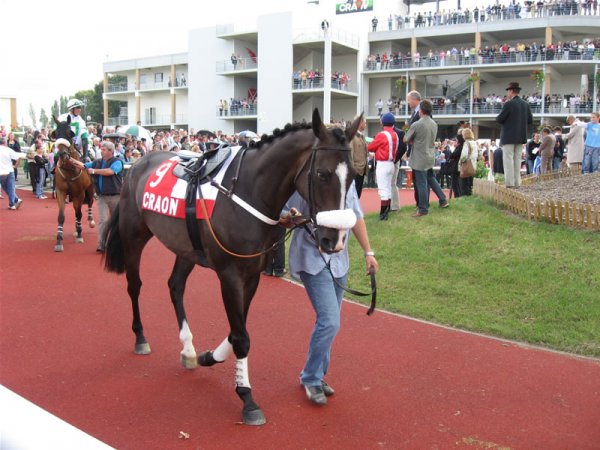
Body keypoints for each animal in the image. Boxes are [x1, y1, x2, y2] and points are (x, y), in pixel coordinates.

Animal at [50, 115, 95, 253]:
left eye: (70, 133)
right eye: (56, 133)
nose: (62, 155)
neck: (70, 169)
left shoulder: (79, 193)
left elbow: (79, 213)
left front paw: (79, 235)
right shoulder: (61, 192)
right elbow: (61, 216)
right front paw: (59, 240)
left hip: (90, 190)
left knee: (89, 203)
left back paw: (90, 221)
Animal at [103, 110, 360, 426]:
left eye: (353, 176)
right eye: (321, 174)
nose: (334, 240)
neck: (248, 193)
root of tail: (138, 163)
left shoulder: (252, 276)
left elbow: (238, 329)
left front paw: (209, 357)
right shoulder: (229, 275)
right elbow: (241, 337)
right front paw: (247, 398)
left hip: (186, 248)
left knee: (175, 286)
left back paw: (188, 349)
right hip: (133, 235)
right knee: (134, 285)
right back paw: (140, 337)